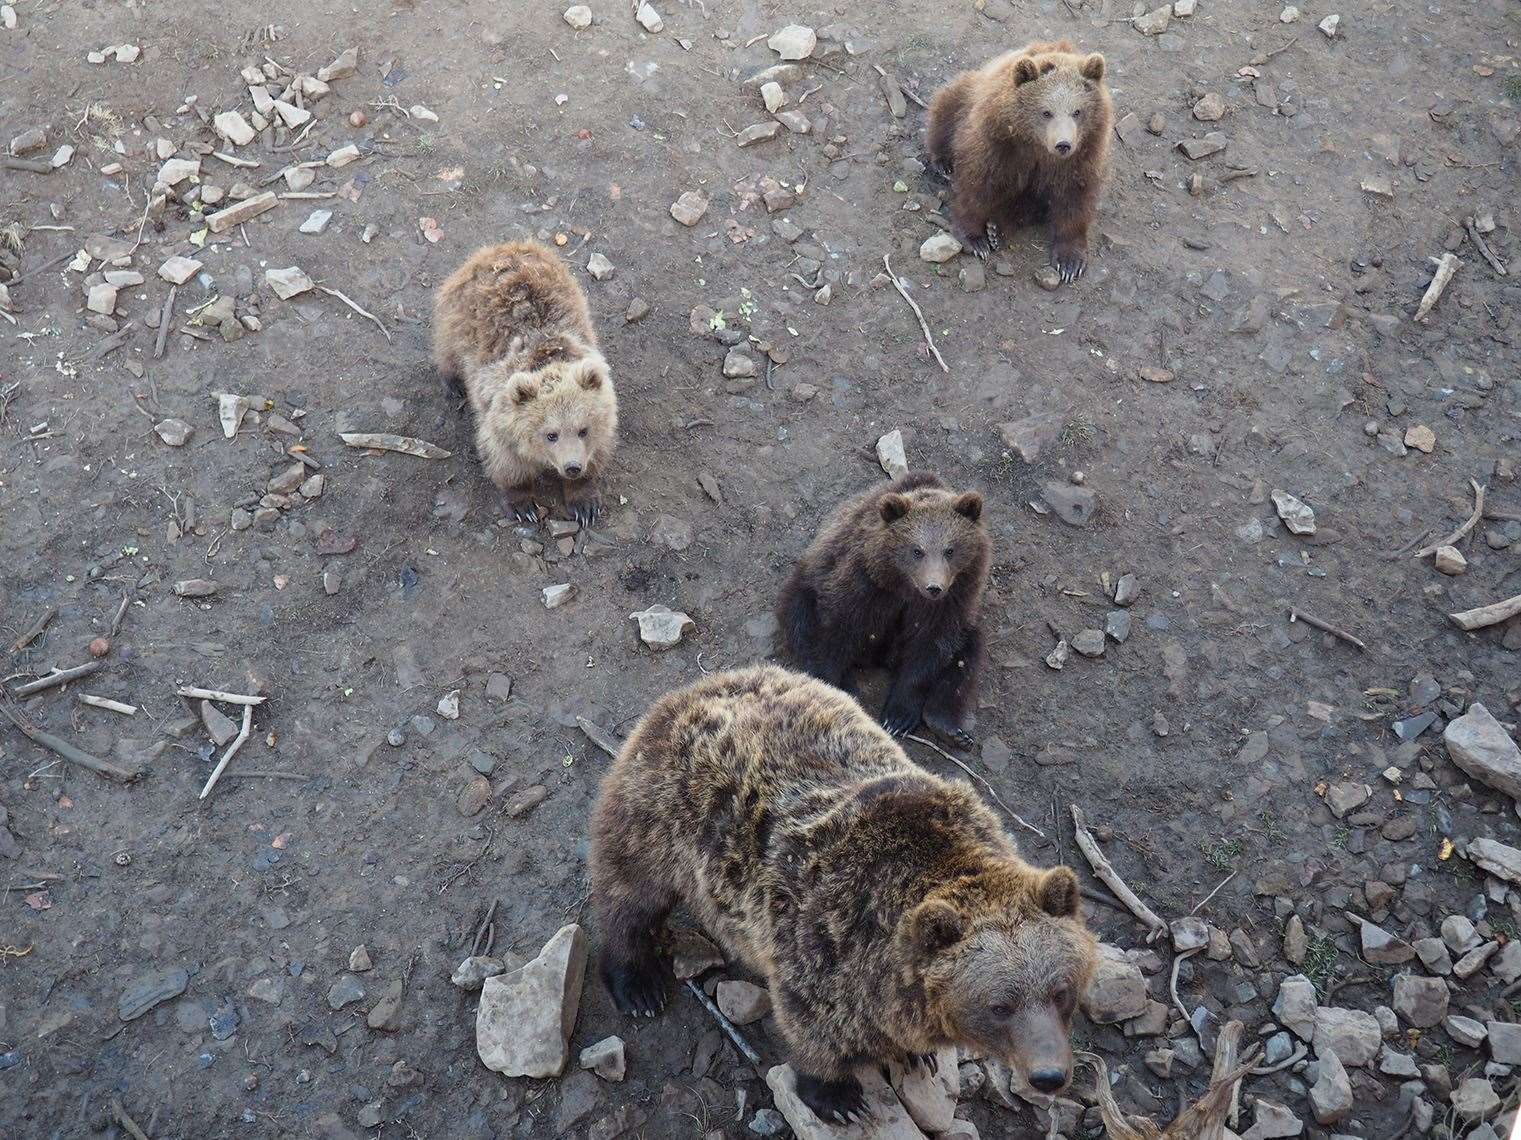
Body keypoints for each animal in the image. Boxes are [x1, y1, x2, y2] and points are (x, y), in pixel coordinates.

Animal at [428, 243, 617, 528]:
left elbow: (596, 456)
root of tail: (498, 248)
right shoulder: (498, 416)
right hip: (459, 320)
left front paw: (584, 503)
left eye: (584, 430)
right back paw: (453, 383)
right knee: (447, 349)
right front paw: (522, 504)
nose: (572, 467)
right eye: (551, 434)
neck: (548, 358)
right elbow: (507, 463)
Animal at [587, 668, 1101, 1124]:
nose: (1049, 1076)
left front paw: (912, 1055)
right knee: (628, 895)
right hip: (661, 819)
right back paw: (638, 983)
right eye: (999, 1005)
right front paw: (837, 1096)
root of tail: (690, 690)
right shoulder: (821, 938)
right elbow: (812, 1024)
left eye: (1061, 992)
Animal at [778, 471, 991, 750]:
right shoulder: (864, 584)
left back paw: (948, 726)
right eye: (917, 550)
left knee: (968, 653)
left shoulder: (952, 602)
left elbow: (932, 649)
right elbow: (837, 630)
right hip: (806, 584)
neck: (905, 586)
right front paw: (832, 687)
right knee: (800, 623)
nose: (934, 587)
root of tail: (882, 659)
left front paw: (899, 716)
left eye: (950, 550)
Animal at [918, 40, 1113, 284]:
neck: (1036, 146)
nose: (1063, 144)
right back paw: (943, 163)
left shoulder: (1082, 156)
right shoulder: (999, 142)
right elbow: (979, 184)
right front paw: (975, 239)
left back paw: (998, 229)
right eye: (1046, 112)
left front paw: (1070, 262)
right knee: (946, 109)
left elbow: (1075, 199)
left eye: (1077, 111)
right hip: (966, 94)